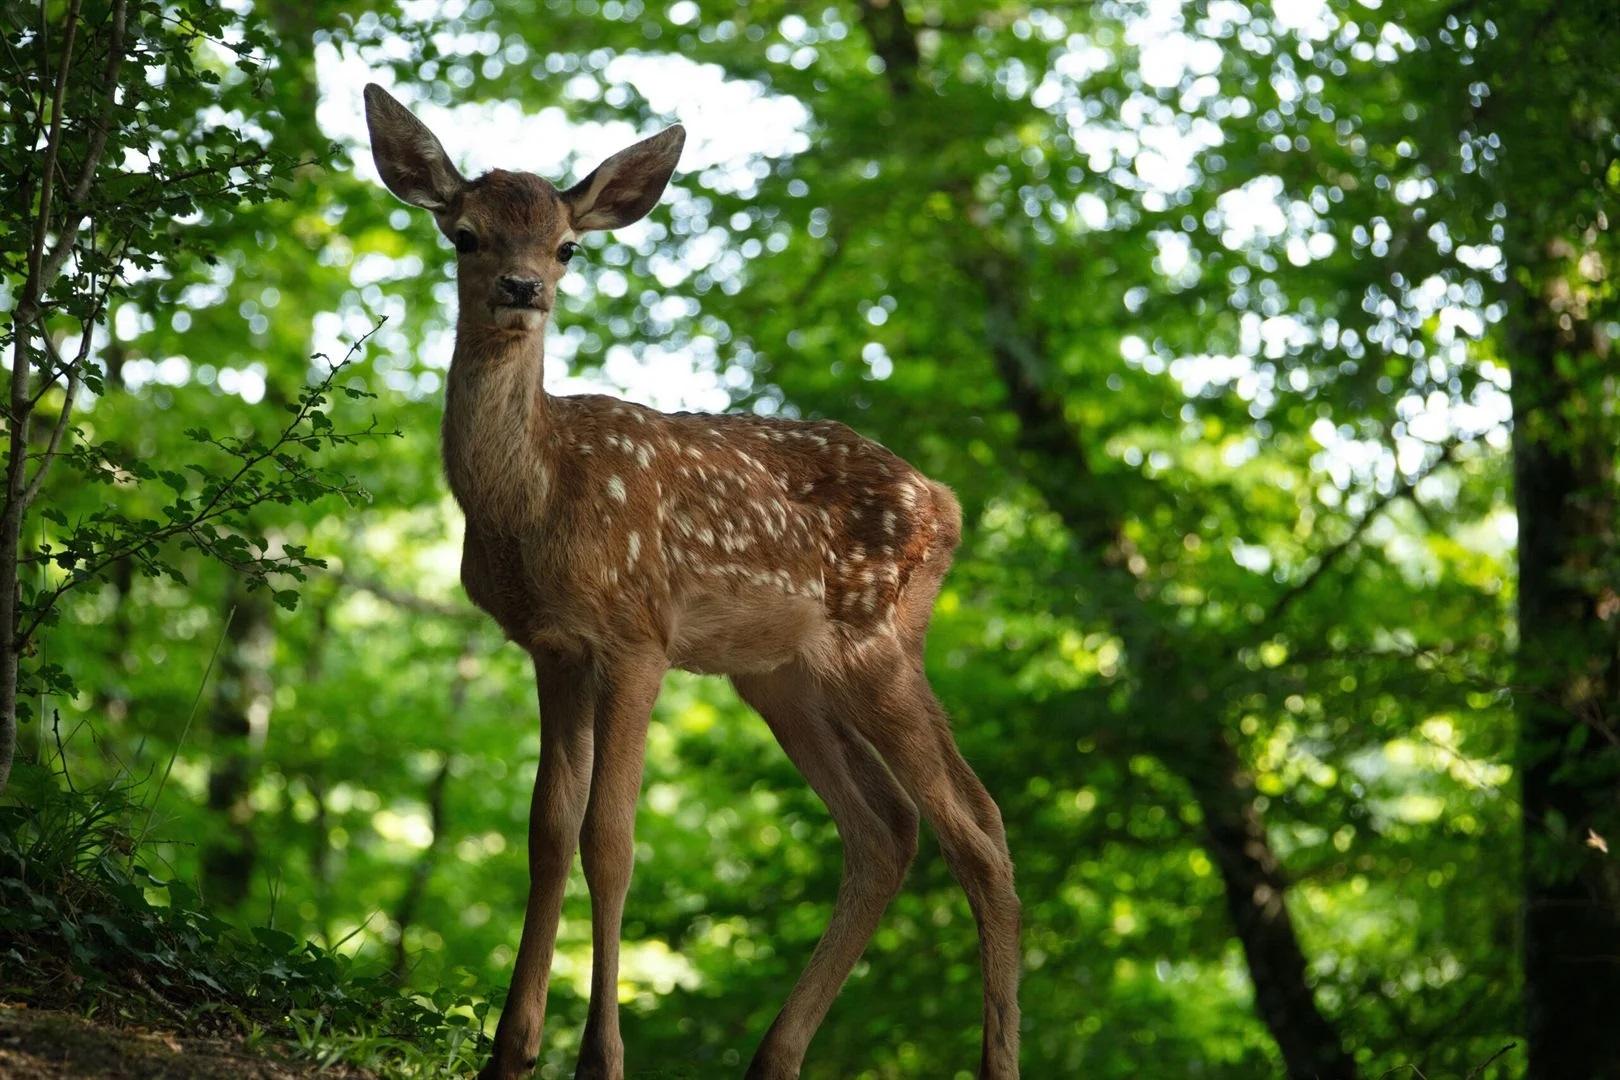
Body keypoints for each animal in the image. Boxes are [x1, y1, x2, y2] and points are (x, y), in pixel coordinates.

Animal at [367, 84, 1017, 1080]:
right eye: (465, 234)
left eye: (567, 245)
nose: (523, 289)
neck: (536, 496)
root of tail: (945, 503)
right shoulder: (554, 646)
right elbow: (548, 831)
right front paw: (510, 1051)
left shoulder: (639, 635)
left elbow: (611, 838)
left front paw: (600, 1059)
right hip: (778, 675)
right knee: (886, 827)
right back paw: (773, 1058)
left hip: (875, 642)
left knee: (976, 826)